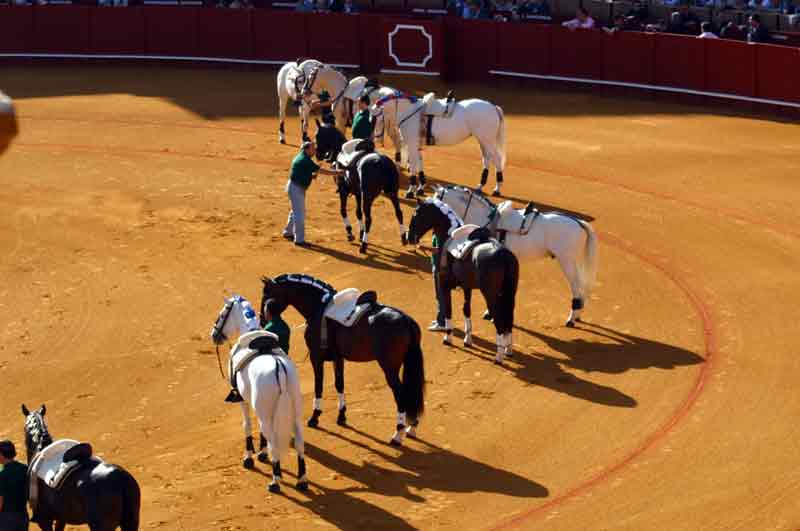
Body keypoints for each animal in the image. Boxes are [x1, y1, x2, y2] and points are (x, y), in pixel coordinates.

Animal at [209, 296, 310, 494]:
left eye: (223, 313)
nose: (214, 335)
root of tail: (280, 369)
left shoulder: (242, 399)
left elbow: (247, 425)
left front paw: (249, 457)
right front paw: (262, 454)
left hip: (267, 414)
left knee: (274, 444)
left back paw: (275, 482)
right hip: (295, 413)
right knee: (299, 442)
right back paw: (301, 480)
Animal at [260, 274, 424, 444]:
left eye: (266, 294)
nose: (263, 320)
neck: (318, 307)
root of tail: (406, 320)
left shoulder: (316, 356)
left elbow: (318, 385)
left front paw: (314, 417)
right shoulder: (338, 358)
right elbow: (339, 384)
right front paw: (341, 416)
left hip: (390, 368)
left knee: (401, 393)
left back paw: (398, 434)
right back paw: (412, 428)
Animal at [370, 92, 506, 198]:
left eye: (376, 118)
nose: (376, 138)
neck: (409, 112)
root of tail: (493, 107)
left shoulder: (412, 144)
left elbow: (413, 167)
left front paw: (410, 191)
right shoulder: (416, 145)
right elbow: (420, 164)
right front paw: (420, 189)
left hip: (487, 140)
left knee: (497, 160)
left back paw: (497, 189)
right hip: (483, 141)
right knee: (486, 159)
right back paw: (480, 186)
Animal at [406, 200, 520, 366]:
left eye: (417, 214)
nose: (408, 236)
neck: (448, 235)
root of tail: (504, 254)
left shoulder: (444, 285)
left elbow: (448, 310)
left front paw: (448, 338)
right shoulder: (467, 288)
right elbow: (466, 310)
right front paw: (467, 340)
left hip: (491, 295)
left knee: (499, 320)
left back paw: (498, 357)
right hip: (510, 294)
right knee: (509, 320)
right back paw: (508, 350)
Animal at [434, 187, 596, 328]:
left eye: (436, 201)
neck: (486, 218)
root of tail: (580, 223)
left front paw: (491, 314)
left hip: (566, 262)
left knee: (576, 288)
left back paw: (571, 319)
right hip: (574, 262)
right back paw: (577, 315)